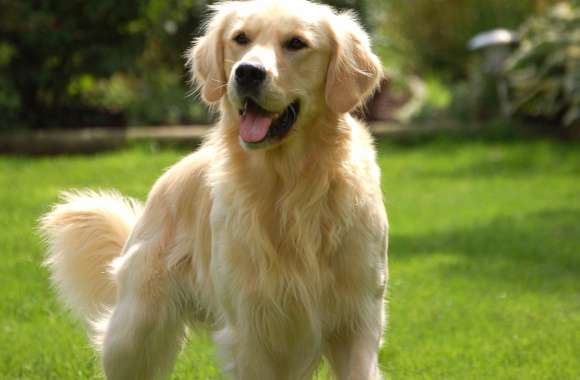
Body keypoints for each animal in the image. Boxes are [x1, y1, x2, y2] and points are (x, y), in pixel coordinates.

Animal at [38, 1, 388, 378]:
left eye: (296, 43)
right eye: (240, 38)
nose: (247, 73)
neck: (289, 186)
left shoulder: (358, 321)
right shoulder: (252, 329)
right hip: (135, 333)